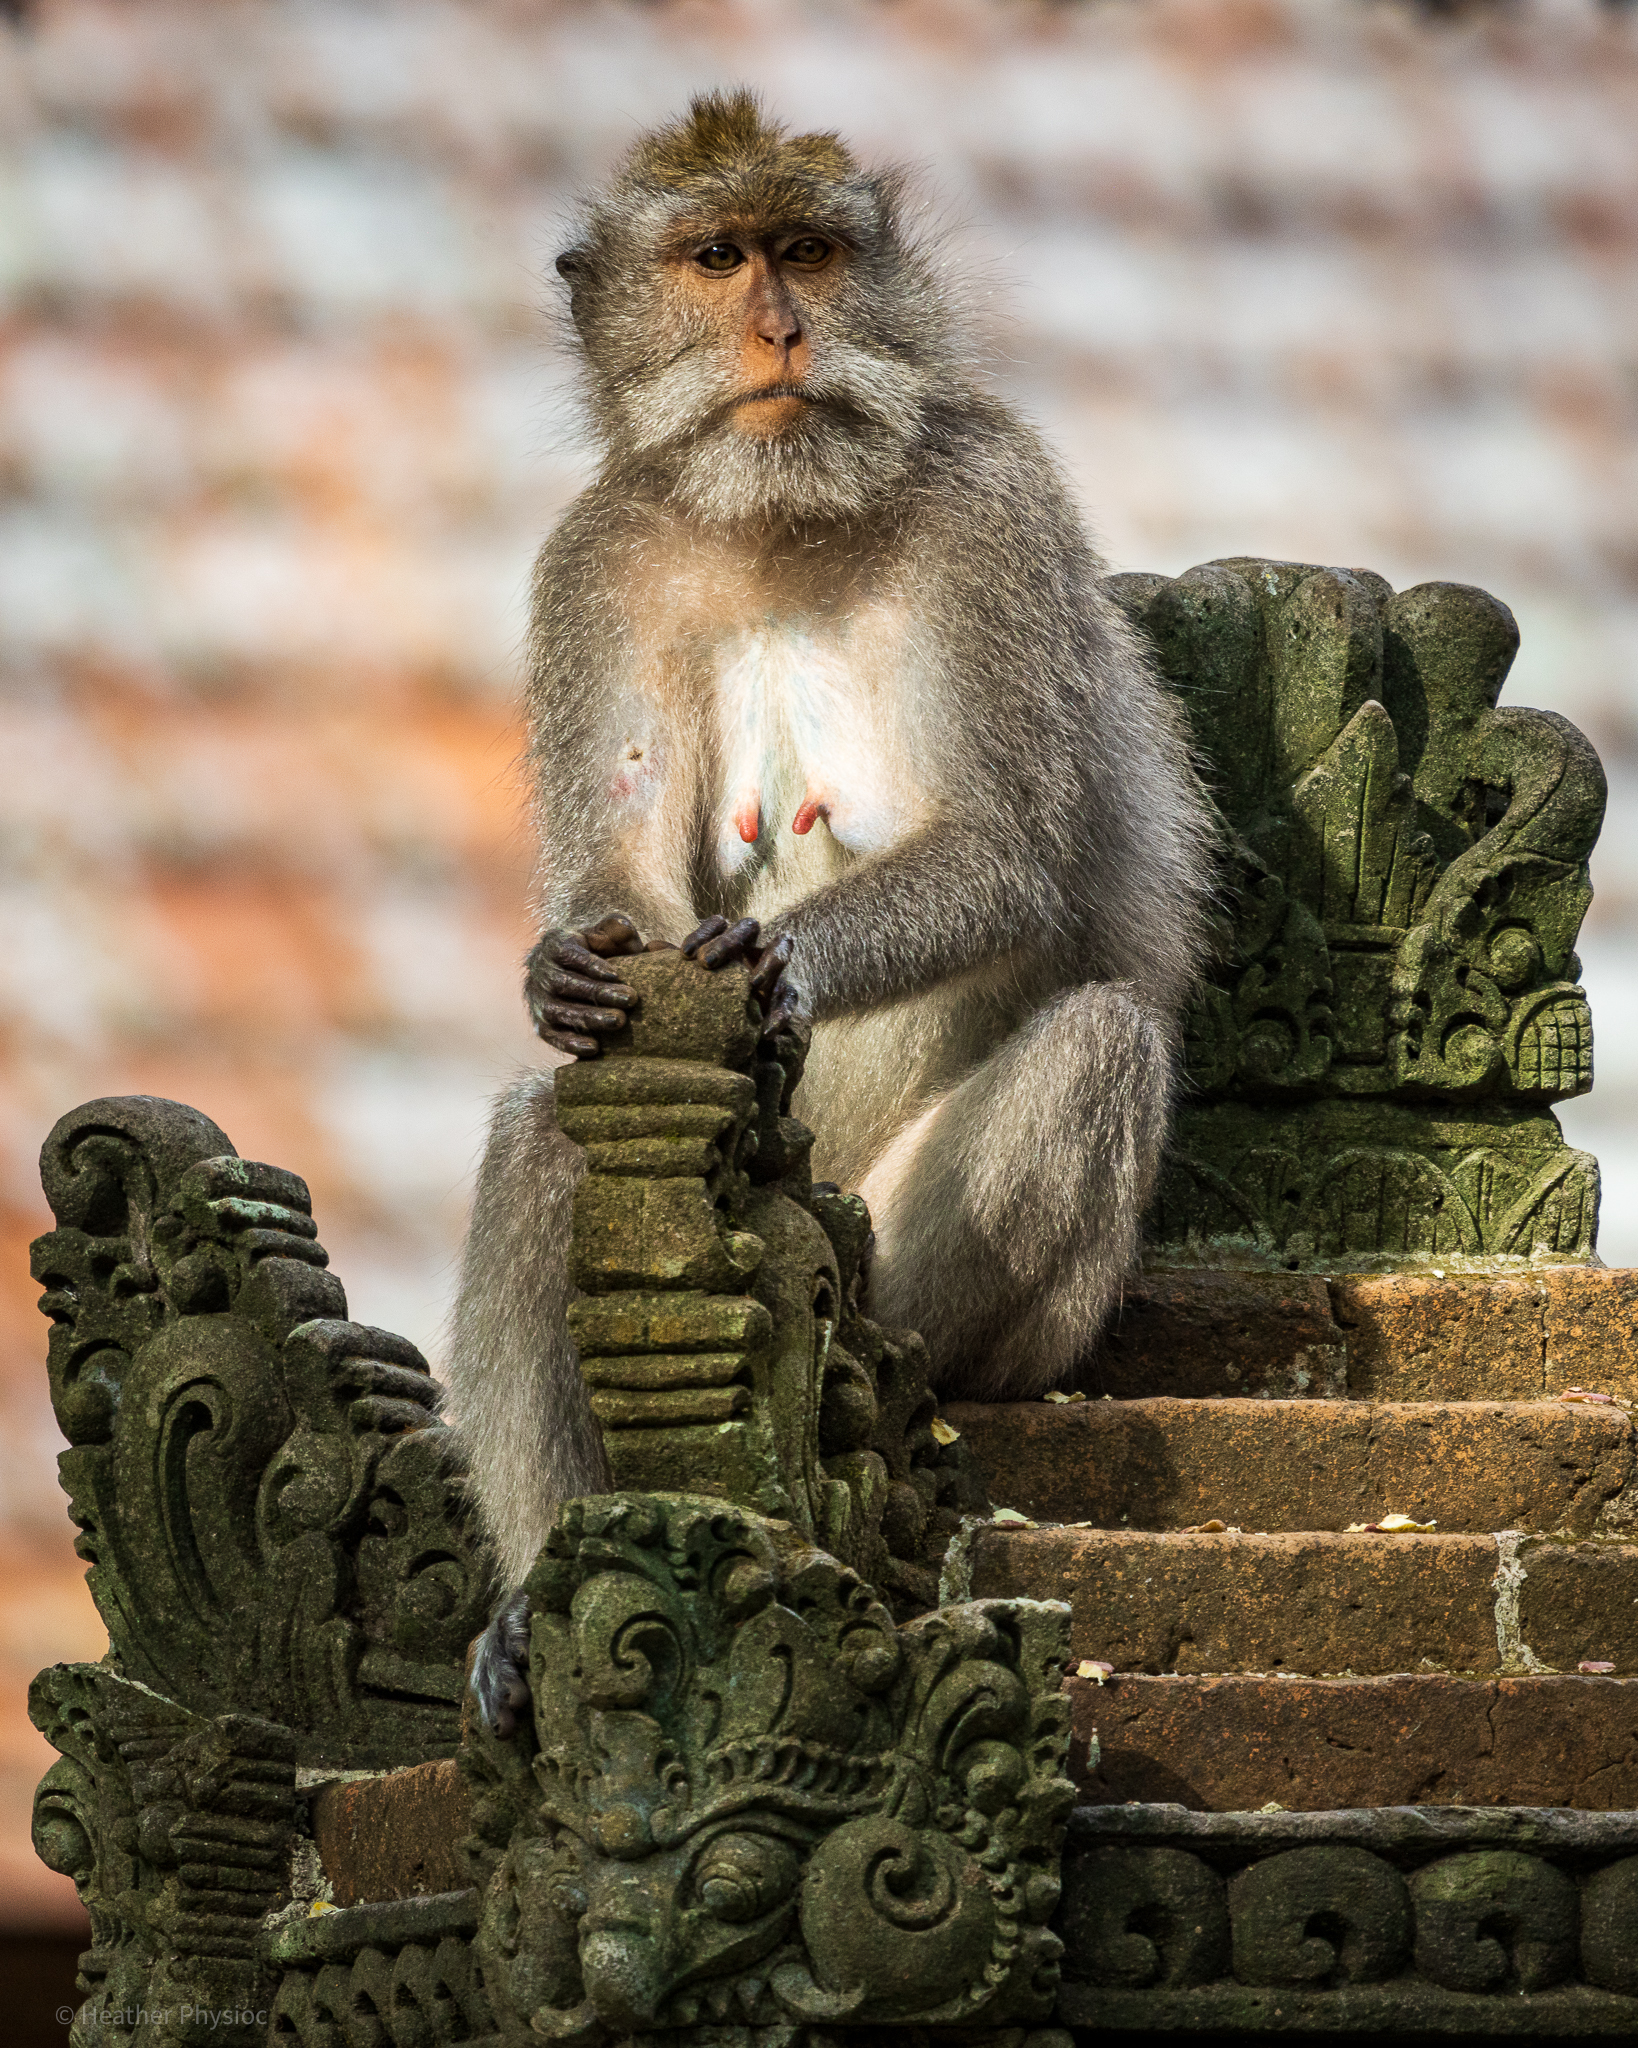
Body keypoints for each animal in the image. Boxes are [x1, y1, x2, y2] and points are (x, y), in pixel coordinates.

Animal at [448, 92, 1212, 1728]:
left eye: (806, 251)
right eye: (715, 258)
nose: (782, 330)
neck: (779, 521)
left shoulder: (994, 511)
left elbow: (1000, 852)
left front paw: (778, 967)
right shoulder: (598, 557)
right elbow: (620, 900)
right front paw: (562, 970)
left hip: (894, 1268)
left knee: (1100, 1044)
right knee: (548, 1133)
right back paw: (542, 1592)